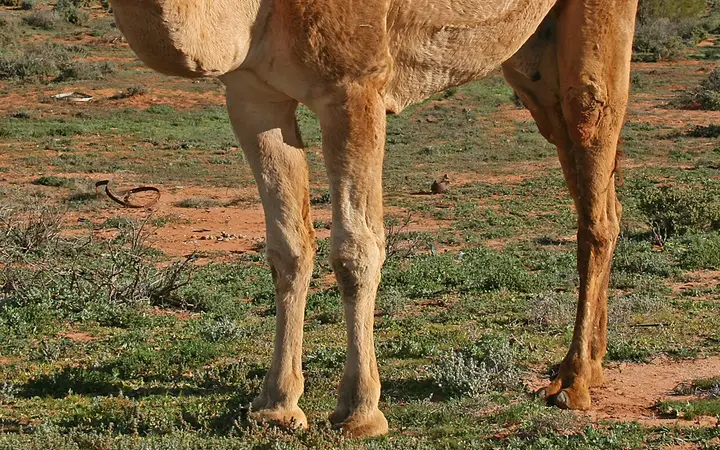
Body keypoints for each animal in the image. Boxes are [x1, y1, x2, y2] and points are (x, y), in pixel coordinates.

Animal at [110, 0, 639, 438]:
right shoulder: (251, 93)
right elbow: (288, 248)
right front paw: (275, 405)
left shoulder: (355, 84)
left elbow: (355, 249)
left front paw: (359, 411)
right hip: (534, 65)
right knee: (598, 193)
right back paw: (593, 361)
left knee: (593, 159)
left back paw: (575, 381)